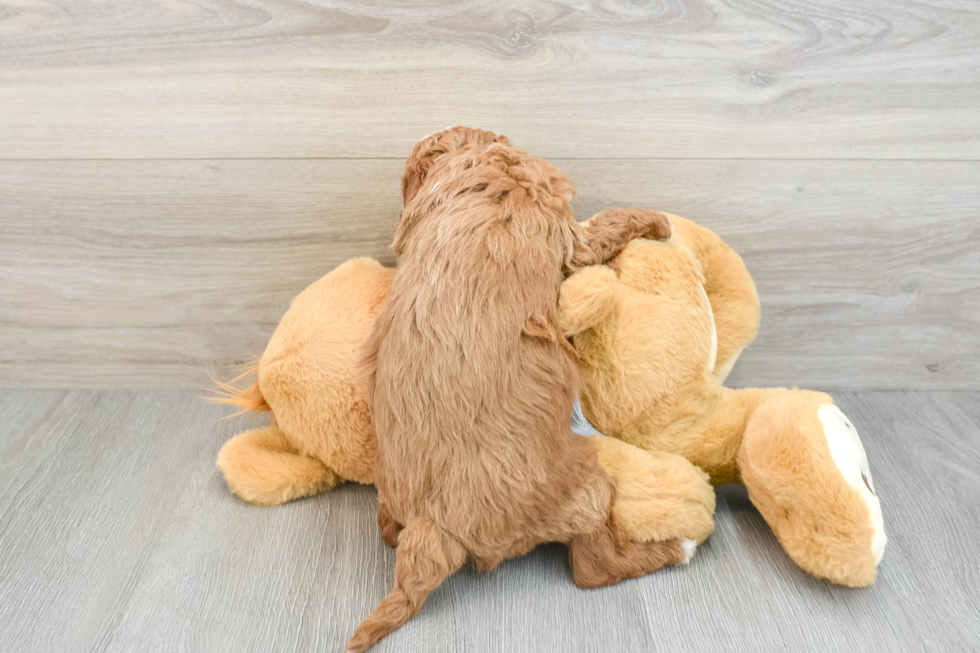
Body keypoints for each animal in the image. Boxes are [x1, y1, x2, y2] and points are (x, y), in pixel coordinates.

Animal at [348, 126, 692, 648]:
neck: (477, 161)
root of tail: (434, 524)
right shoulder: (570, 234)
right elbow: (608, 224)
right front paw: (658, 222)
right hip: (587, 484)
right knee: (594, 567)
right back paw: (677, 548)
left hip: (391, 488)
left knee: (388, 529)